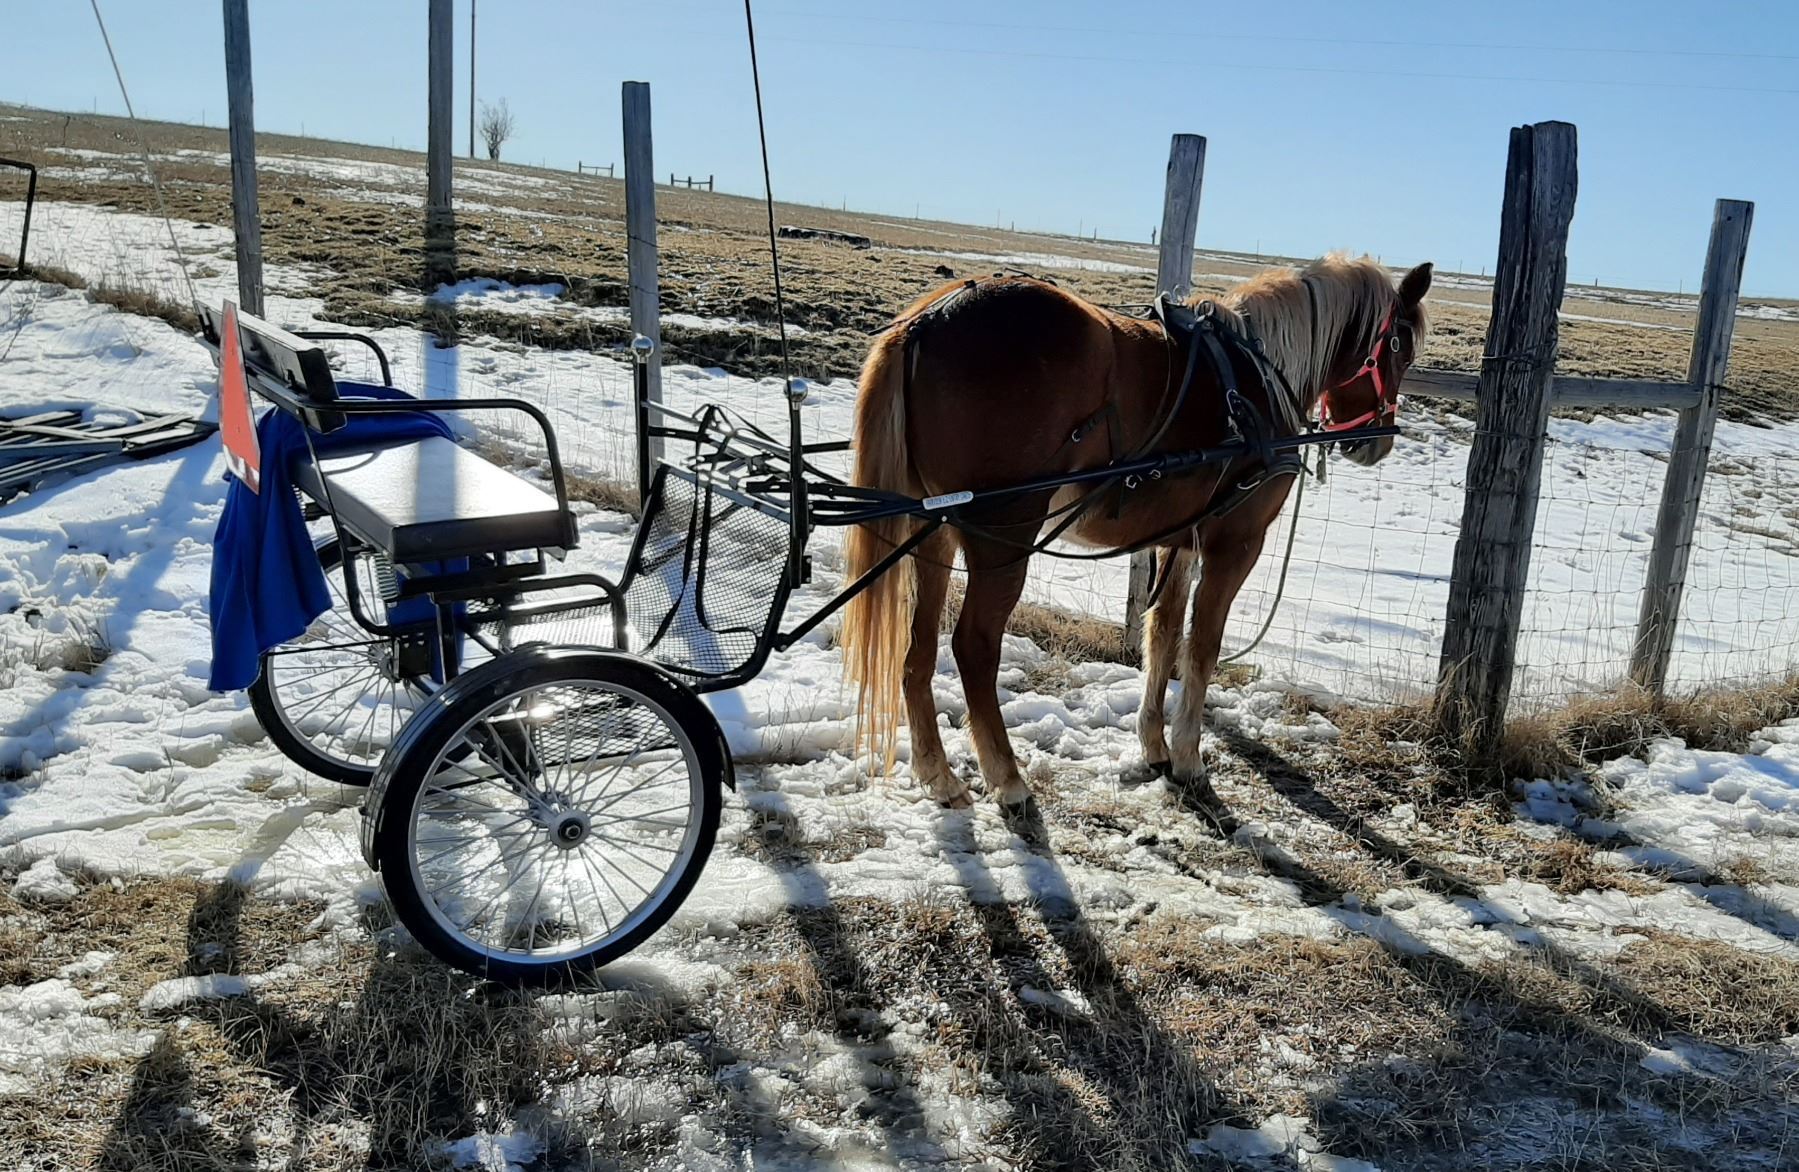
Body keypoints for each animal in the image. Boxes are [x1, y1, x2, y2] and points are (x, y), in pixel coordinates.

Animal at [838, 253, 1432, 808]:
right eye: (1400, 345)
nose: (1376, 442)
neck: (1257, 377)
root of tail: (925, 321)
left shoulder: (1182, 542)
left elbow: (1162, 635)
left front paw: (1154, 745)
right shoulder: (1235, 544)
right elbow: (1202, 648)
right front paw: (1189, 758)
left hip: (932, 531)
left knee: (917, 649)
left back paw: (938, 774)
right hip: (1003, 536)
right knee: (974, 647)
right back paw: (1007, 778)